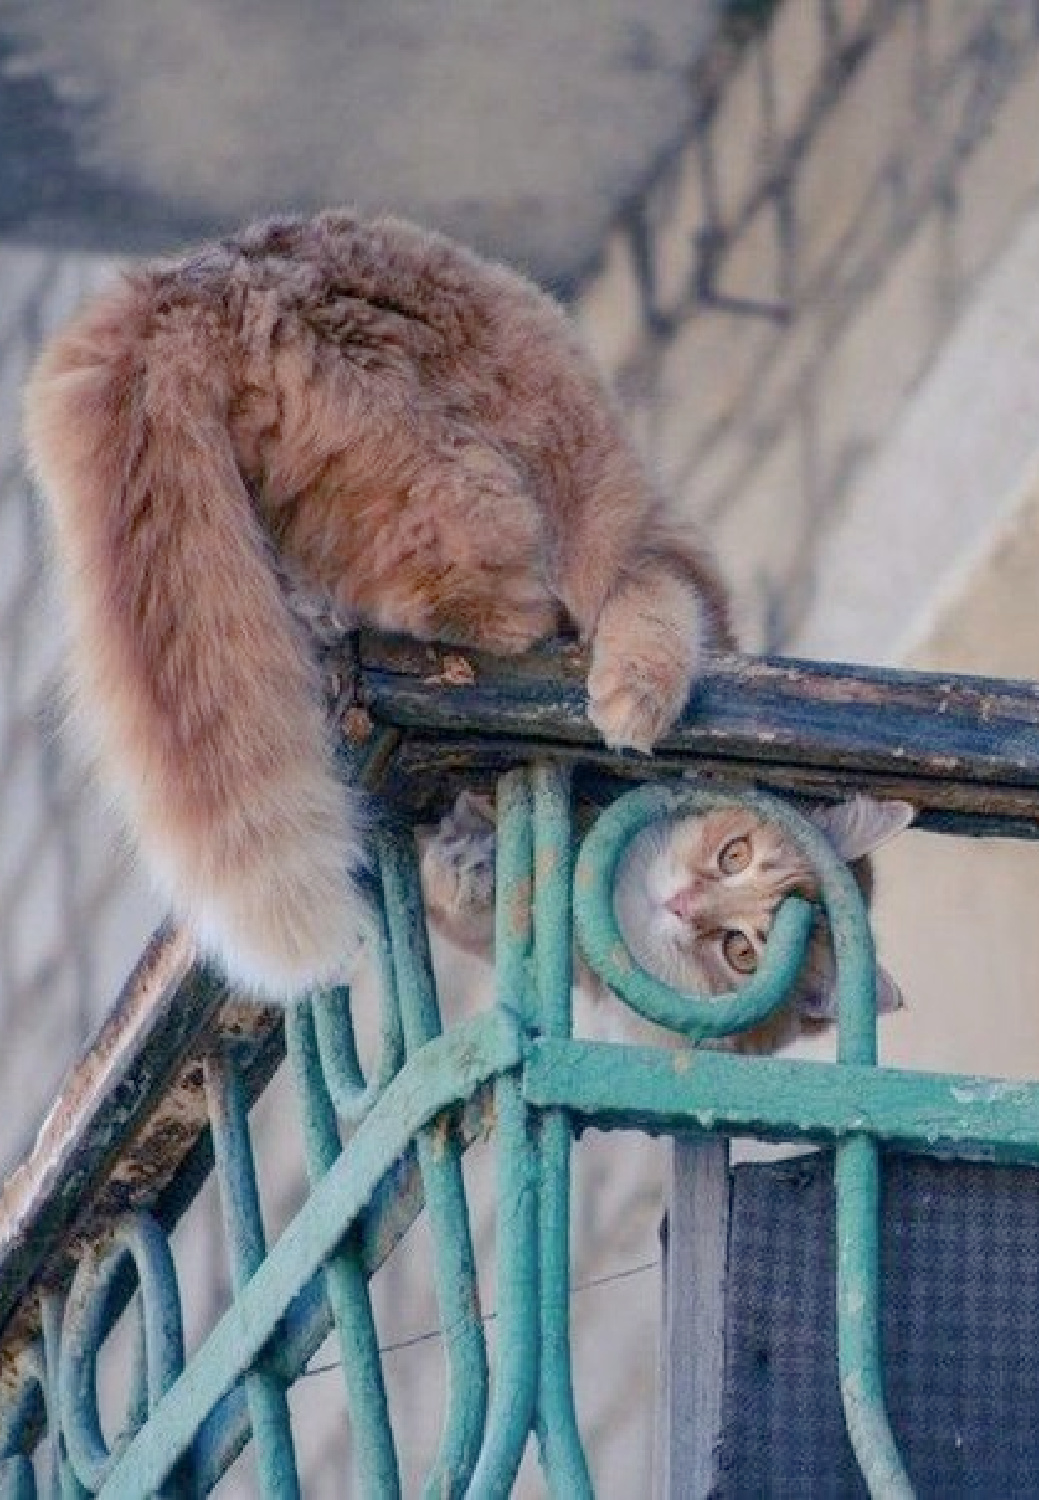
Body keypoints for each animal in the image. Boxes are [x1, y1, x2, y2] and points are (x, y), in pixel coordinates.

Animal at [18, 202, 728, 996]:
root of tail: (184, 280)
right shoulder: (635, 544)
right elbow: (658, 613)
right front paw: (633, 704)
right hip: (467, 493)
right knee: (494, 611)